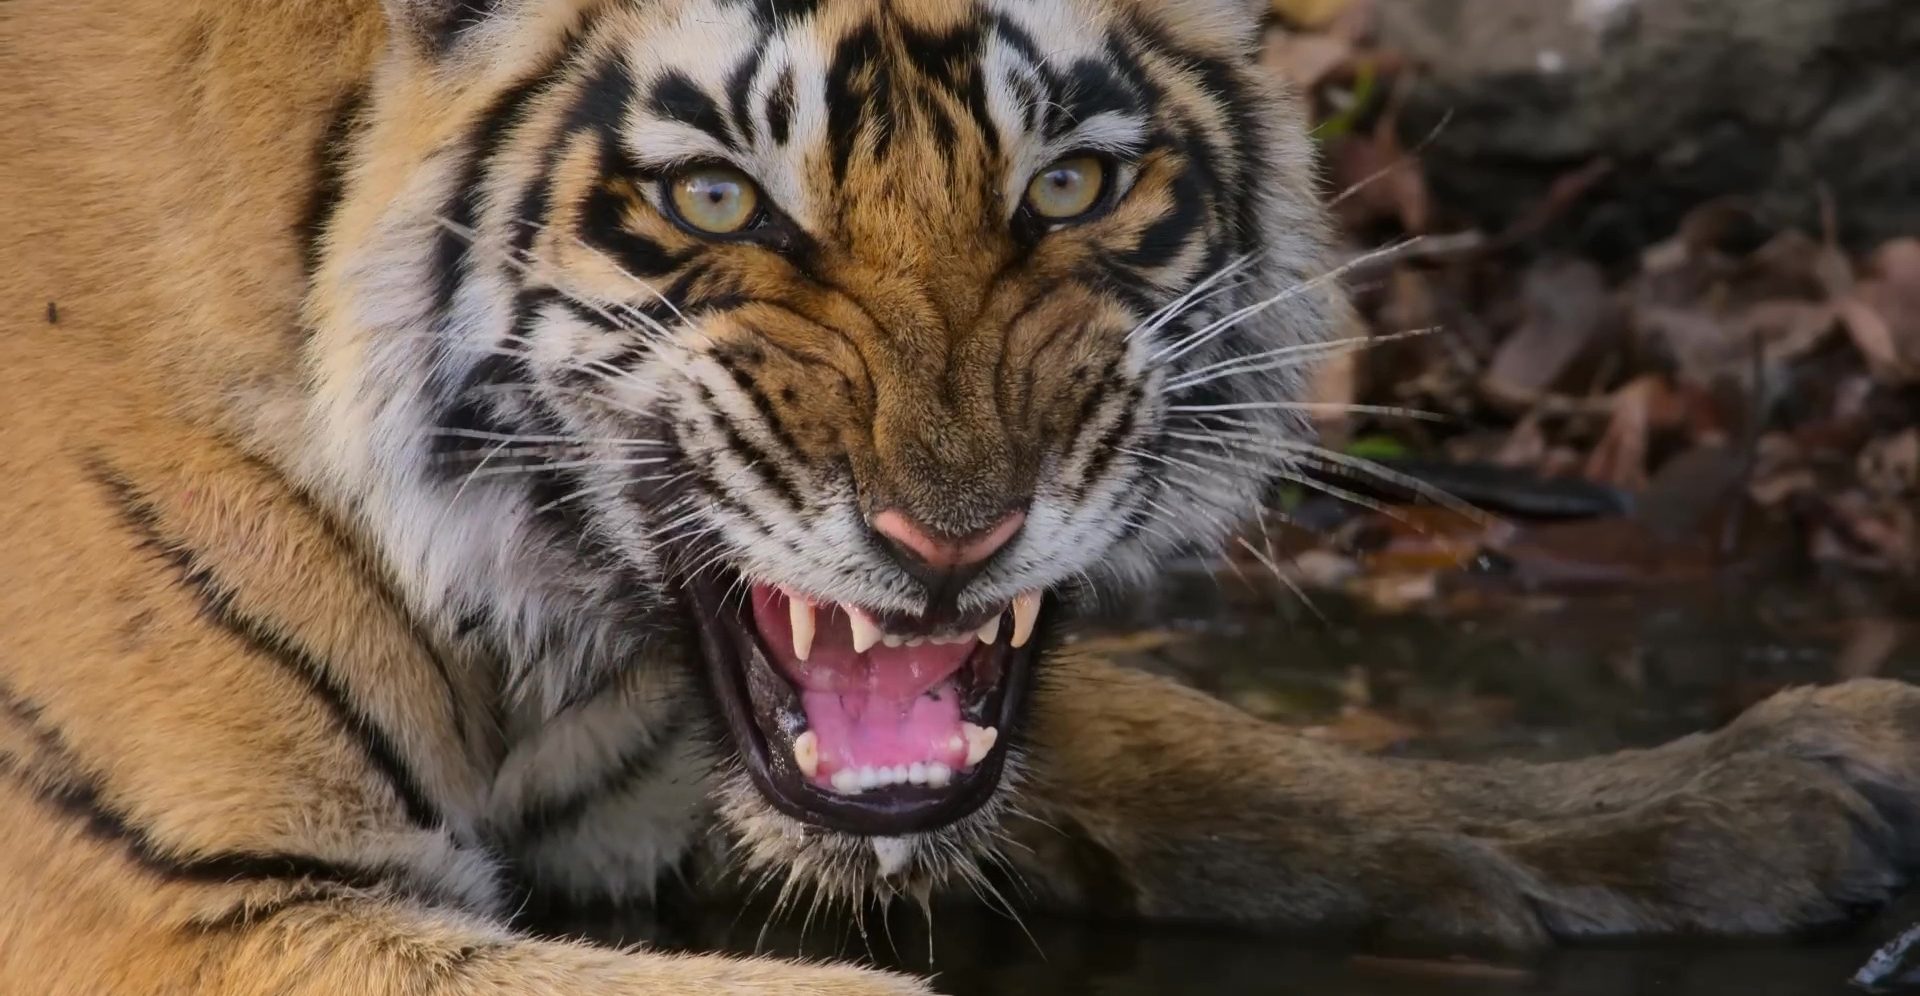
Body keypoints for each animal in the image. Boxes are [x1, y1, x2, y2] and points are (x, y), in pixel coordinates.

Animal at [4, 0, 1920, 992]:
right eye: (716, 198)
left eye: (1070, 181)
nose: (954, 539)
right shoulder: (182, 903)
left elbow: (1226, 752)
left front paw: (1788, 781)